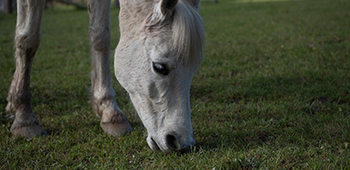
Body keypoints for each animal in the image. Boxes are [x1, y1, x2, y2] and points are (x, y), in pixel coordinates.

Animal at [5, 0, 204, 154]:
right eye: (160, 67)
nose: (182, 143)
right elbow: (28, 38)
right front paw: (24, 117)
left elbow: (100, 36)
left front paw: (110, 112)